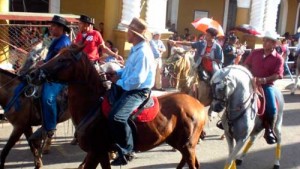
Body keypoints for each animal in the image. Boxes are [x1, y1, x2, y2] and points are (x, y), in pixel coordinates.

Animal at [29, 44, 207, 168]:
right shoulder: (101, 153)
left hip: (187, 145)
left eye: (62, 59)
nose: (33, 74)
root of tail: (198, 104)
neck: (92, 106)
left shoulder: (96, 151)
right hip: (179, 143)